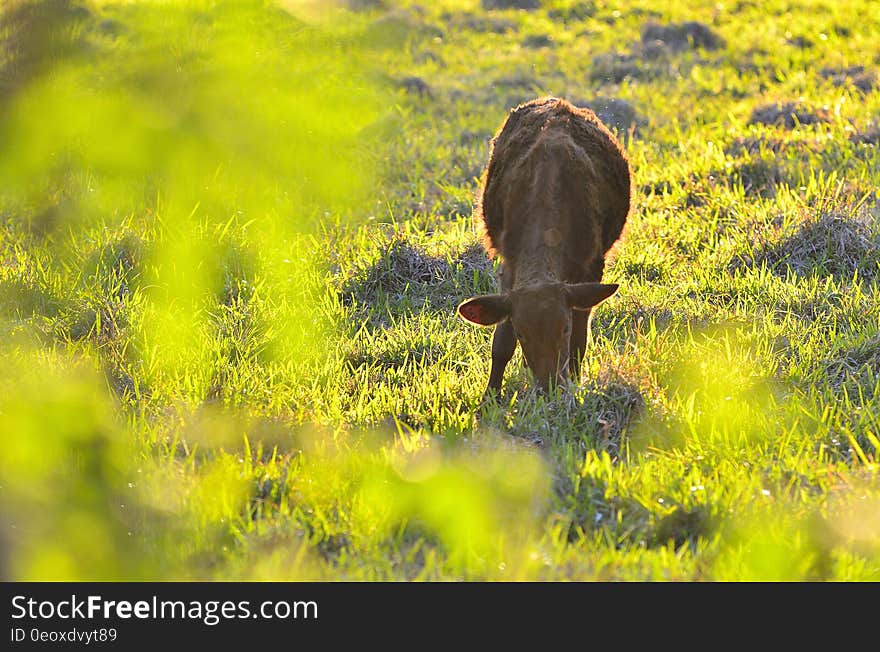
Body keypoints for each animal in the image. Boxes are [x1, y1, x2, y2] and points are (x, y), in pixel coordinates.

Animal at [458, 97, 628, 398]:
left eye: (564, 329)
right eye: (522, 333)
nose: (548, 387)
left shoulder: (591, 268)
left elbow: (580, 340)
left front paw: (574, 384)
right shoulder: (510, 266)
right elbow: (501, 343)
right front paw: (490, 396)